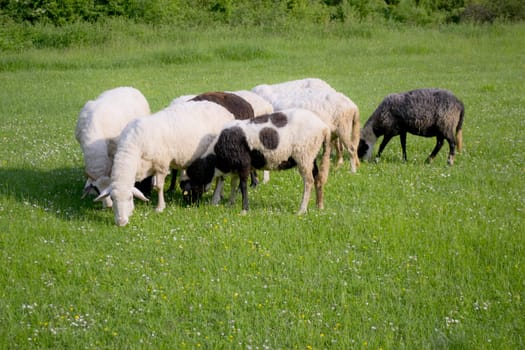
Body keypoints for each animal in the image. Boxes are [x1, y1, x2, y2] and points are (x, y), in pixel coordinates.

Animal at [94, 101, 235, 227]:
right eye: (112, 199)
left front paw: (160, 207)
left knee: (220, 178)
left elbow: (158, 187)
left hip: (219, 157)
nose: (121, 223)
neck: (133, 146)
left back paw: (215, 199)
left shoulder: (161, 164)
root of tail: (226, 111)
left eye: (129, 198)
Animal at [185, 108, 332, 215]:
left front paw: (244, 209)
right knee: (318, 178)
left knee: (309, 181)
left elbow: (243, 185)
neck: (217, 158)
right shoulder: (235, 166)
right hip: (311, 156)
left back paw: (301, 210)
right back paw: (319, 206)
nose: (191, 204)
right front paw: (230, 203)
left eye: (193, 183)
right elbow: (233, 184)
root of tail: (324, 127)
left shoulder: (244, 164)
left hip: (304, 155)